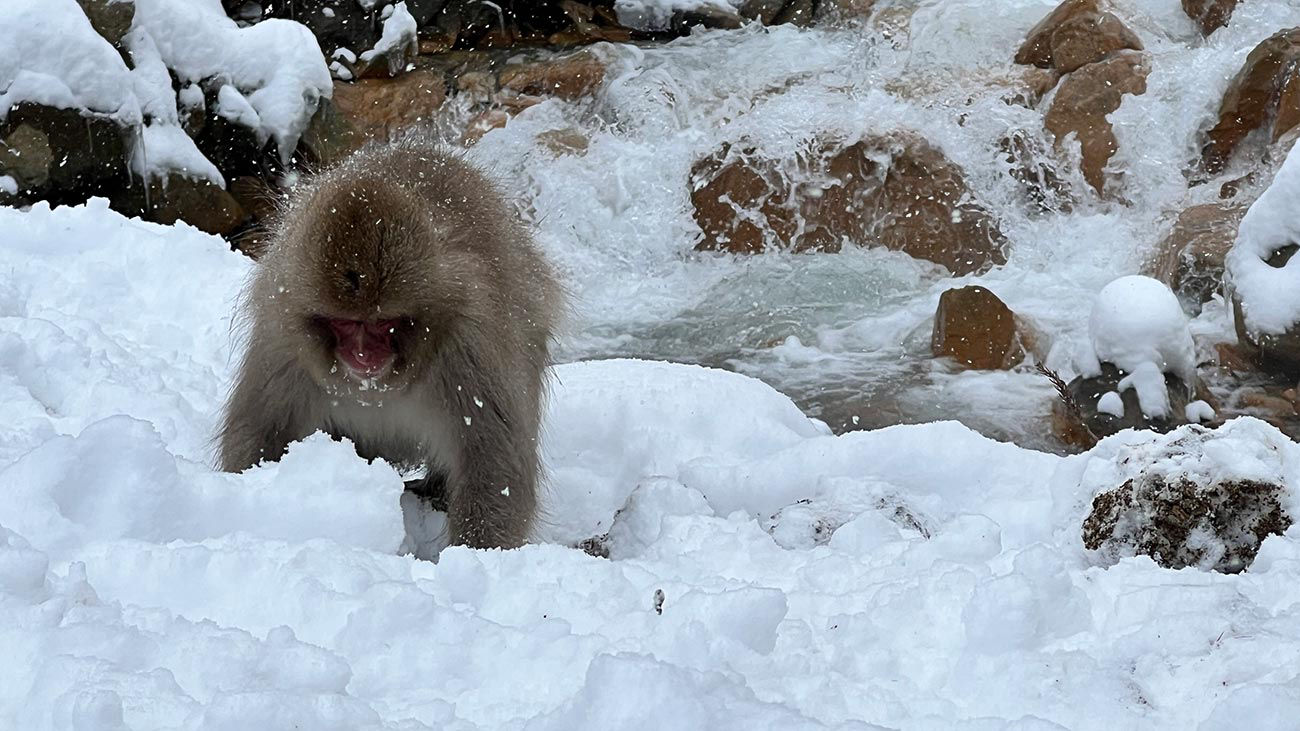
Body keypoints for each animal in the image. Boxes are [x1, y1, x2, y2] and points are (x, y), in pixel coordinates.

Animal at [218, 138, 562, 550]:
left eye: (384, 324)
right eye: (346, 323)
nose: (363, 355)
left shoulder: (471, 346)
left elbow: (492, 460)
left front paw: (475, 553)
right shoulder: (282, 339)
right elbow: (262, 432)